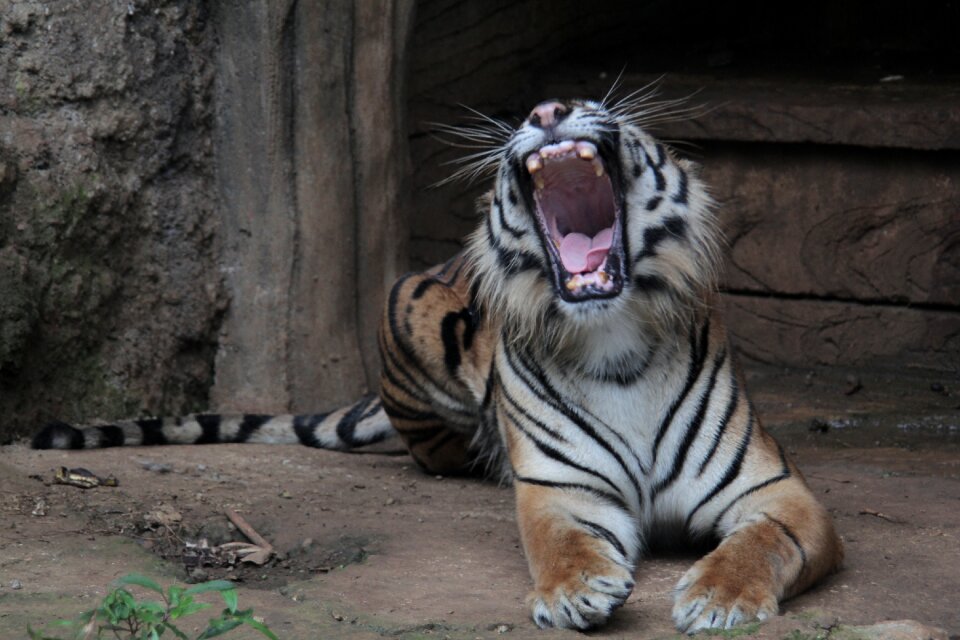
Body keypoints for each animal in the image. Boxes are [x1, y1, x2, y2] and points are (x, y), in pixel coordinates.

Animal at [31, 91, 840, 636]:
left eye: (589, 104)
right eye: (545, 109)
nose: (549, 109)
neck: (613, 339)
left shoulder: (777, 491)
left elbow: (762, 541)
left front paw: (719, 598)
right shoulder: (560, 491)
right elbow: (563, 545)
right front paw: (574, 592)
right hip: (406, 307)